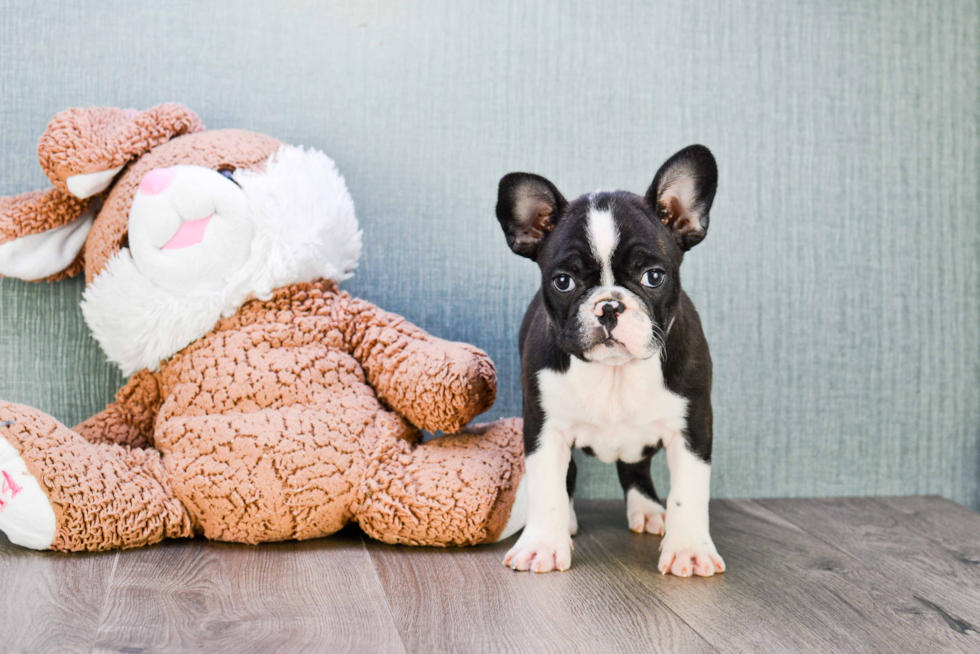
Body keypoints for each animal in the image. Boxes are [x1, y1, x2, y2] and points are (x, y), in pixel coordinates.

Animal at [494, 145, 724, 580]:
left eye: (654, 276)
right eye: (563, 282)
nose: (609, 307)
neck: (615, 372)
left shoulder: (693, 426)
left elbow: (689, 492)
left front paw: (688, 550)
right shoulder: (543, 427)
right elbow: (548, 488)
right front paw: (541, 544)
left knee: (635, 468)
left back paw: (649, 510)